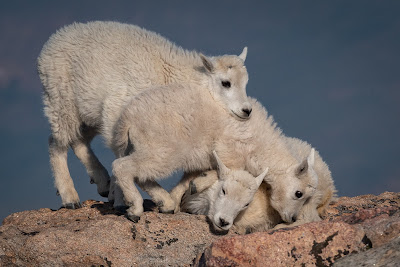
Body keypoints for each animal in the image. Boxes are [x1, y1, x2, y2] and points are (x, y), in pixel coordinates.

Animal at [37, 21, 250, 209]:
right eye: (226, 83)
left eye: (246, 82)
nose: (247, 111)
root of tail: (52, 41)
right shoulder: (117, 114)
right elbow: (122, 154)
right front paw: (123, 200)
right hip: (60, 100)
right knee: (57, 143)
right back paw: (70, 197)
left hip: (87, 113)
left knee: (79, 141)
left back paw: (103, 183)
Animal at [110, 79, 318, 222]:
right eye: (299, 193)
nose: (291, 218)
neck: (262, 144)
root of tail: (127, 118)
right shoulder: (229, 151)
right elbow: (221, 171)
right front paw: (199, 184)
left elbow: (186, 181)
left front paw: (179, 199)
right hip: (162, 148)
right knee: (124, 167)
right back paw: (135, 209)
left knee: (141, 174)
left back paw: (165, 202)